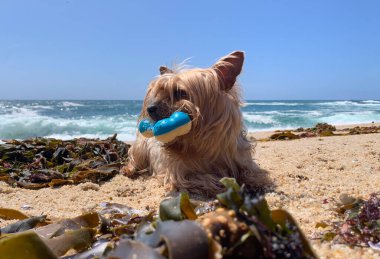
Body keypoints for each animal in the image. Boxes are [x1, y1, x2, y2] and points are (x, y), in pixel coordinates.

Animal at [122, 51, 270, 197]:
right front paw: (223, 184)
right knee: (134, 158)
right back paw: (128, 169)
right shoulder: (179, 175)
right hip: (141, 147)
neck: (205, 144)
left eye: (179, 92)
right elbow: (205, 178)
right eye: (158, 93)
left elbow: (252, 172)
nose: (150, 108)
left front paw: (255, 182)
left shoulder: (242, 159)